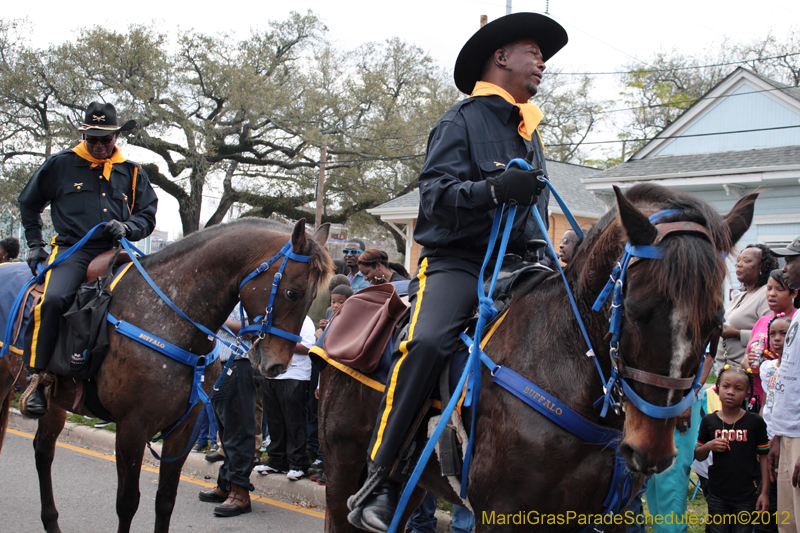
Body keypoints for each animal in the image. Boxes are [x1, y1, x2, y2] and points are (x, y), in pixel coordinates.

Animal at [0, 217, 332, 532]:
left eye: (313, 298)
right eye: (292, 293)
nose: (277, 366)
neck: (168, 317)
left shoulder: (183, 428)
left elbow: (165, 500)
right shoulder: (132, 427)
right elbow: (127, 502)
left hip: (55, 402)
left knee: (43, 452)